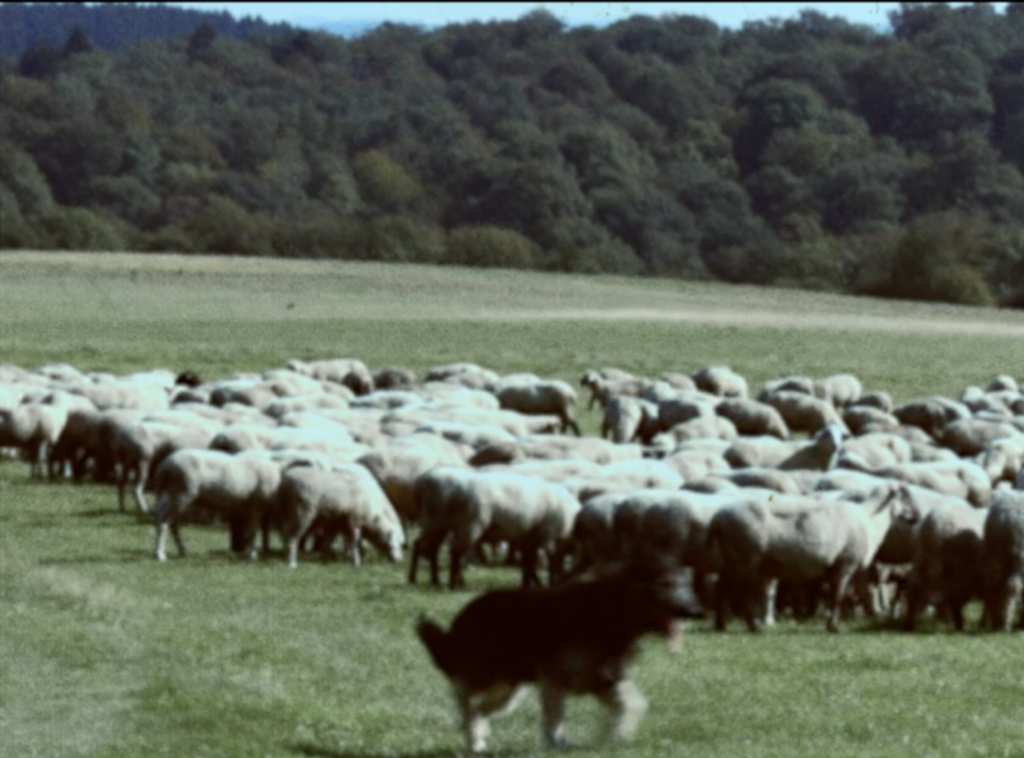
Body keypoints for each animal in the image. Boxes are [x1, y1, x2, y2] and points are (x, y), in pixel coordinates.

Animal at [708, 485, 917, 635]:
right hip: (746, 557)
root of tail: (718, 518)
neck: (871, 518)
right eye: (903, 496)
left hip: (731, 558)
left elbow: (835, 596)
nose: (915, 517)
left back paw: (720, 624)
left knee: (720, 587)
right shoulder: (845, 563)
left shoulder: (835, 567)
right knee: (740, 593)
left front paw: (830, 622)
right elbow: (838, 596)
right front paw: (833, 627)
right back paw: (753, 626)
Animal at [909, 499, 987, 630]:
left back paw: (909, 624)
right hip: (958, 568)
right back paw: (958, 625)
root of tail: (936, 524)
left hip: (922, 558)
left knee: (914, 587)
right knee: (954, 598)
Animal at [978, 487, 1024, 630]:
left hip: (996, 551)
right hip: (1019, 553)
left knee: (993, 582)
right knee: (1013, 586)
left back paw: (994, 621)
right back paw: (1006, 624)